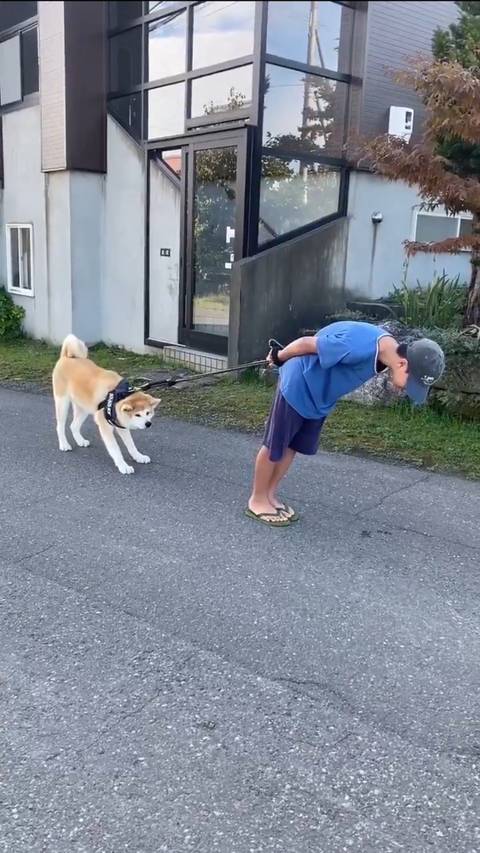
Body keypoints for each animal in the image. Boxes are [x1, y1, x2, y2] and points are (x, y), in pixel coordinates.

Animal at [52, 334, 159, 472]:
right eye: (137, 415)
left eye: (148, 413)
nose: (148, 424)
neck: (118, 395)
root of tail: (66, 356)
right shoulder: (106, 427)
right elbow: (115, 449)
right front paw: (123, 466)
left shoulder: (121, 424)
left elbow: (131, 445)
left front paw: (138, 456)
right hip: (62, 403)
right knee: (60, 426)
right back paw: (64, 444)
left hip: (83, 408)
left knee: (73, 426)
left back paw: (80, 441)